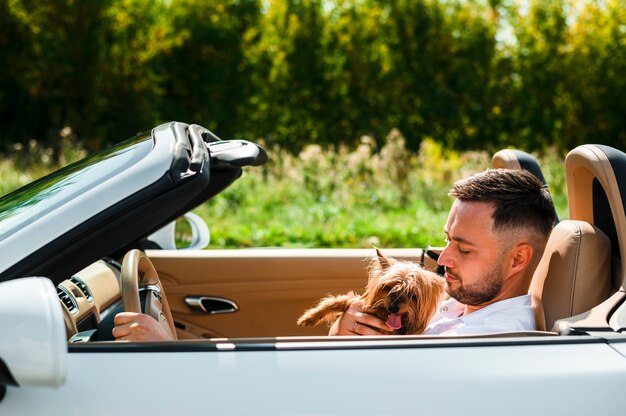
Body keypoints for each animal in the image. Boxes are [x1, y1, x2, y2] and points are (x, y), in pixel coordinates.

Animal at [296, 249, 444, 334]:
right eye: (388, 287)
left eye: (413, 295)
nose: (393, 308)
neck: (383, 316)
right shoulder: (356, 301)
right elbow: (336, 301)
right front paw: (309, 317)